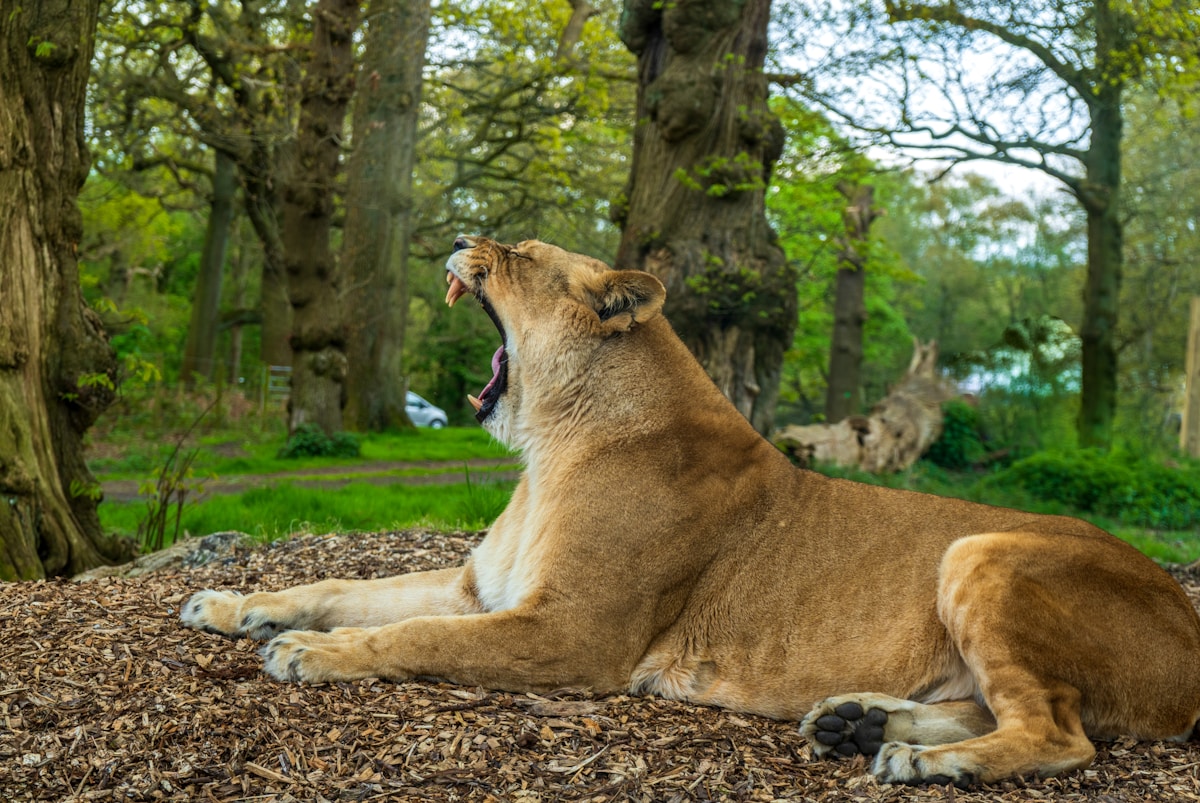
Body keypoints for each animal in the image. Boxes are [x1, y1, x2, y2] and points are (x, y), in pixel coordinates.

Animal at [182, 236, 1200, 786]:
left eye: (521, 255)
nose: (467, 231)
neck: (549, 444)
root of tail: (1187, 616)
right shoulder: (482, 588)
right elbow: (345, 583)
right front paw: (232, 606)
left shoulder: (572, 633)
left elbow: (412, 636)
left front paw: (311, 653)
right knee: (1000, 706)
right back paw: (859, 723)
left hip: (979, 548)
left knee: (1060, 730)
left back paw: (921, 761)